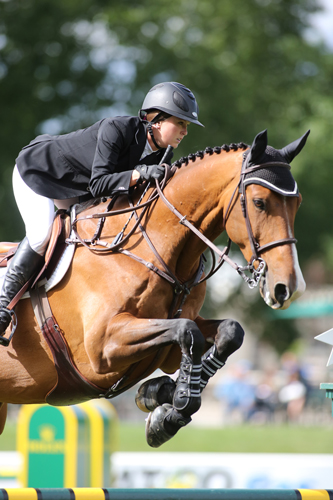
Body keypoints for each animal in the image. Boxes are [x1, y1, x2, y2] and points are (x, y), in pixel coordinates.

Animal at [0, 129, 308, 446]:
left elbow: (228, 332)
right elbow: (188, 331)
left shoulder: (168, 345)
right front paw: (177, 401)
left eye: (297, 203)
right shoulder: (103, 347)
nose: (288, 287)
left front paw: (163, 401)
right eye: (259, 202)